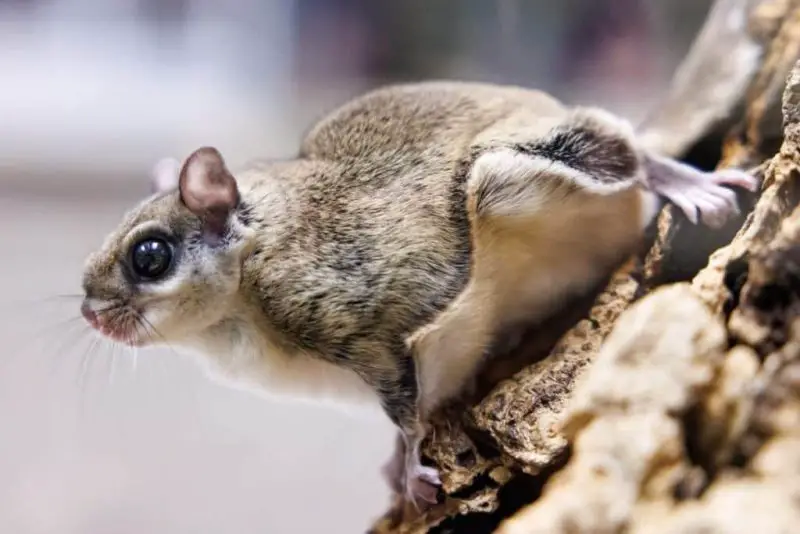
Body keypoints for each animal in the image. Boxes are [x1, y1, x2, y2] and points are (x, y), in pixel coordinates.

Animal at [79, 81, 758, 509]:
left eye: (149, 256)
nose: (90, 314)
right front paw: (390, 466)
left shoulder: (350, 318)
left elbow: (403, 408)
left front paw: (409, 471)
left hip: (518, 166)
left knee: (631, 151)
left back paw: (687, 185)